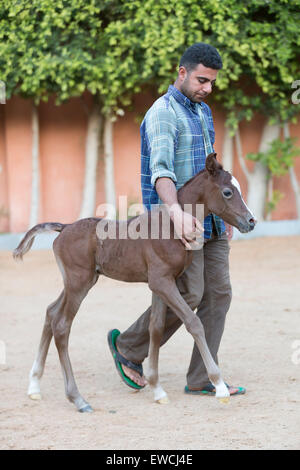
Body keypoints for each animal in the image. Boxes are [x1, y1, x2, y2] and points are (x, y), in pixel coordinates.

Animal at [13, 154, 255, 412]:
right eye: (228, 192)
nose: (251, 221)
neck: (171, 226)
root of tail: (64, 227)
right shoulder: (162, 282)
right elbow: (193, 322)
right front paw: (219, 387)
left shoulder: (161, 284)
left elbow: (156, 328)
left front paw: (157, 389)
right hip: (79, 283)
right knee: (61, 326)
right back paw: (78, 399)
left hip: (78, 281)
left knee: (51, 312)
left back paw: (34, 386)